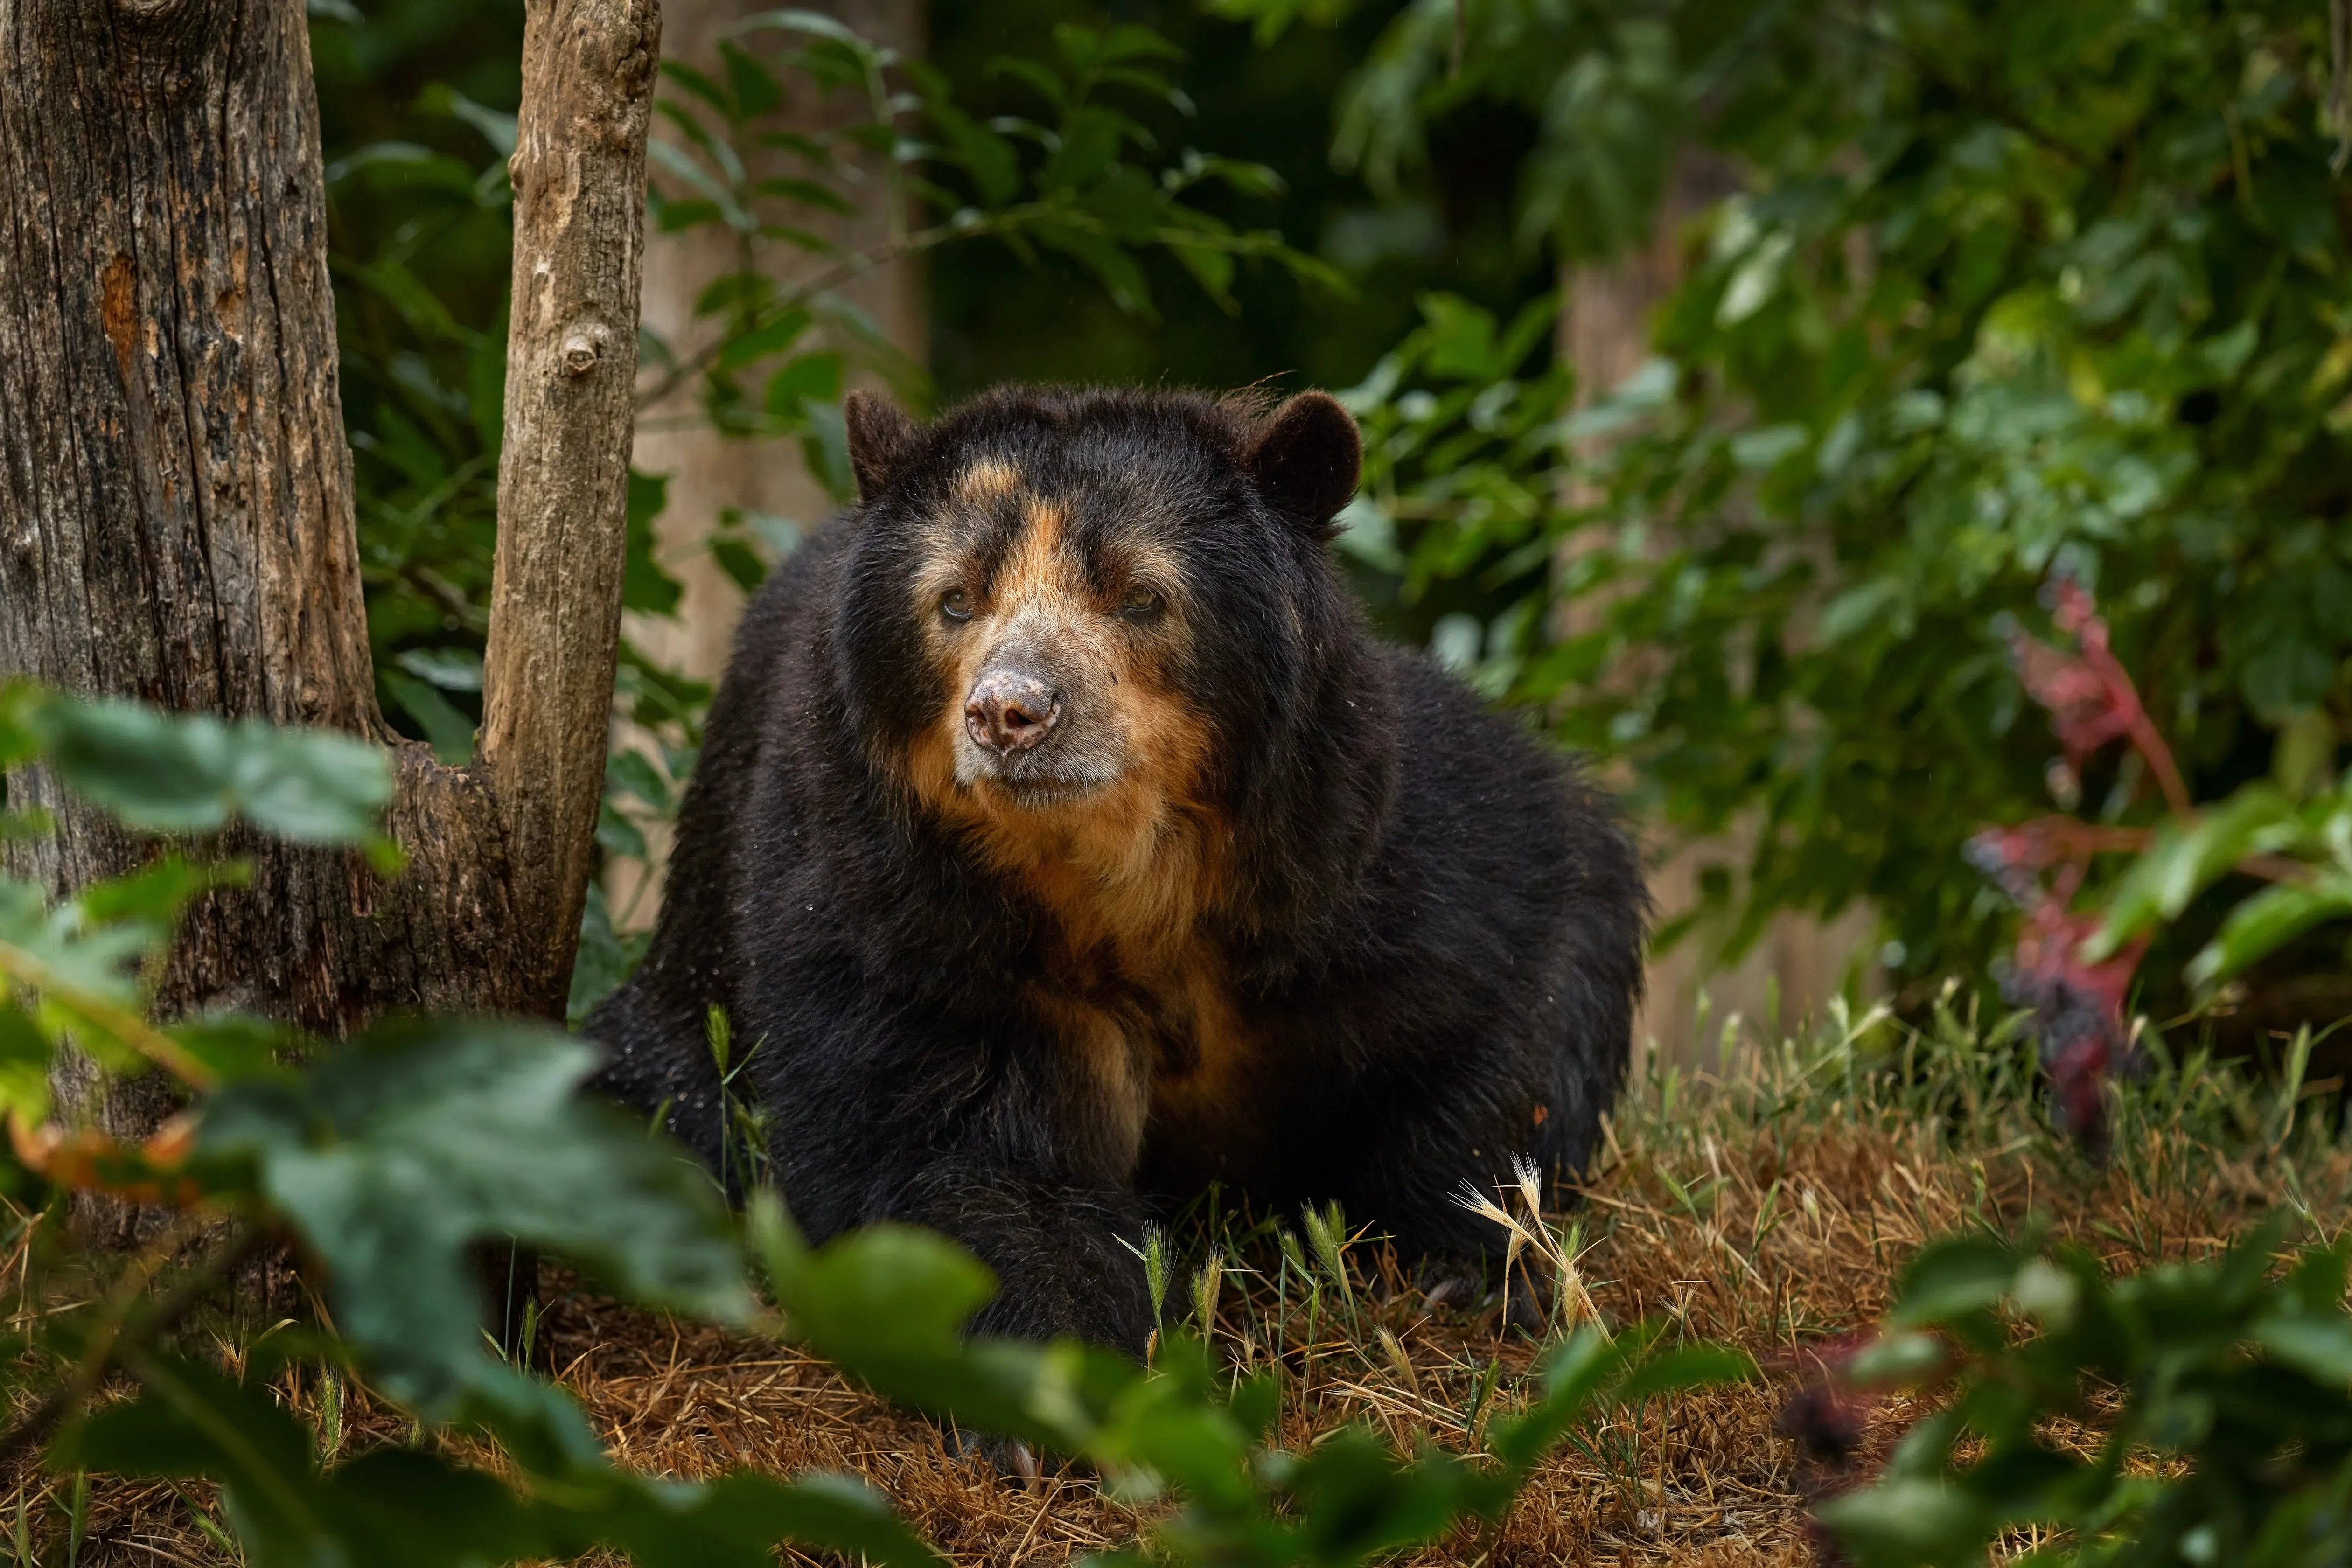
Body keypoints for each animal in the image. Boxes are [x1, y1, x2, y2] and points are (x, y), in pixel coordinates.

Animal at [587, 384, 1647, 1355]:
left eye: (1140, 594)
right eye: (956, 598)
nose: (1009, 711)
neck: (1117, 874)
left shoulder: (1353, 852)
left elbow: (1514, 962)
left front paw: (1472, 1266)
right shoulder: (889, 909)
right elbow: (937, 1149)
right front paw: (1083, 1350)